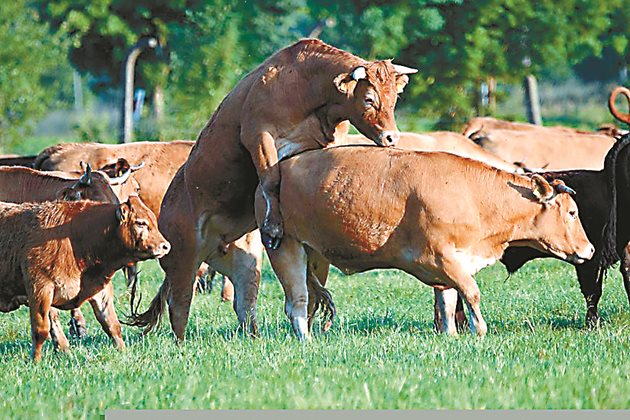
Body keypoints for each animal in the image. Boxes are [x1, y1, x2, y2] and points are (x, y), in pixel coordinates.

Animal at [0, 197, 170, 360]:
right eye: (140, 223)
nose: (165, 246)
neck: (74, 239)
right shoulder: (40, 287)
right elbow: (40, 330)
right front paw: (35, 361)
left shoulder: (101, 289)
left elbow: (112, 325)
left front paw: (123, 352)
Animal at [128, 39, 418, 340]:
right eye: (369, 99)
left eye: (394, 100)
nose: (391, 137)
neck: (307, 86)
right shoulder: (259, 136)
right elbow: (270, 180)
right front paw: (274, 225)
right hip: (182, 259)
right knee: (179, 304)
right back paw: (181, 341)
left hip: (244, 264)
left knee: (244, 303)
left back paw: (253, 336)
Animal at [254, 146, 596, 340]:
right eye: (572, 212)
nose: (590, 249)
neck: (474, 197)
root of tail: (275, 173)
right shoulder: (439, 257)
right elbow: (470, 292)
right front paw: (479, 331)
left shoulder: (454, 261)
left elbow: (448, 302)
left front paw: (451, 336)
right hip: (284, 247)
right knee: (297, 302)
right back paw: (305, 341)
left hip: (313, 255)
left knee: (309, 299)